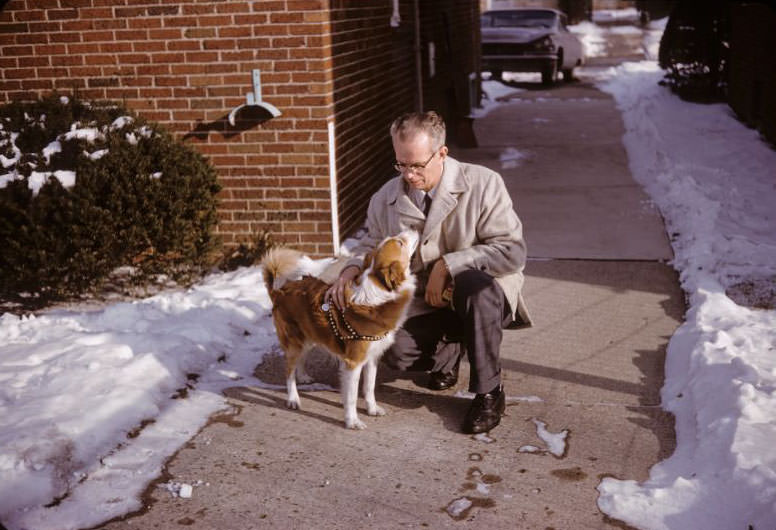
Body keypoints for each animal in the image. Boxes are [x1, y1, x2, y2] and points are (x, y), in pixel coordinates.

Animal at [260, 229, 418, 426]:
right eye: (400, 243)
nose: (412, 229)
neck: (377, 296)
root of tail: (278, 291)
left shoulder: (372, 357)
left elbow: (369, 387)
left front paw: (372, 409)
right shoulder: (353, 363)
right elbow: (351, 397)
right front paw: (352, 421)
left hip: (309, 336)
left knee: (301, 359)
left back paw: (303, 376)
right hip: (294, 341)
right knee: (289, 370)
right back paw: (293, 399)